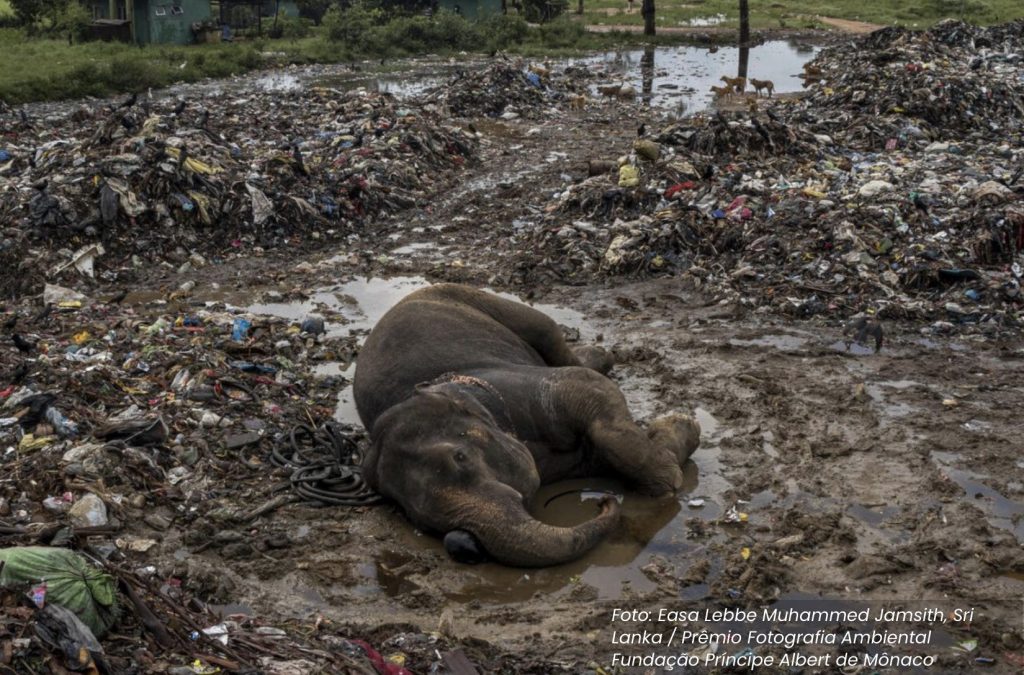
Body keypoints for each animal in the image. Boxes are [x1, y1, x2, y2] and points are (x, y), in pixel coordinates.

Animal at [356, 282, 700, 569]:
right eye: (422, 522)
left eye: (460, 458)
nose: (603, 501)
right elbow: (598, 454)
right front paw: (679, 436)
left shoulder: (518, 386)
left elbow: (586, 387)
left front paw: (673, 466)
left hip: (476, 298)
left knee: (551, 335)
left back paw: (601, 356)